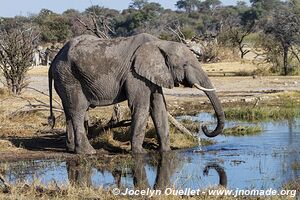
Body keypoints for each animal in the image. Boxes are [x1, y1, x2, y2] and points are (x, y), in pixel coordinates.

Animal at [48, 32, 224, 155]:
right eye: (185, 64)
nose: (204, 127)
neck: (160, 43)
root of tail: (54, 60)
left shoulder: (152, 75)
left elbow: (159, 107)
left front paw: (166, 152)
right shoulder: (134, 74)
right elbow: (141, 106)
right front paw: (140, 153)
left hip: (65, 79)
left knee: (69, 111)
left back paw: (71, 149)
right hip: (70, 77)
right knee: (78, 110)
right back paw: (88, 152)